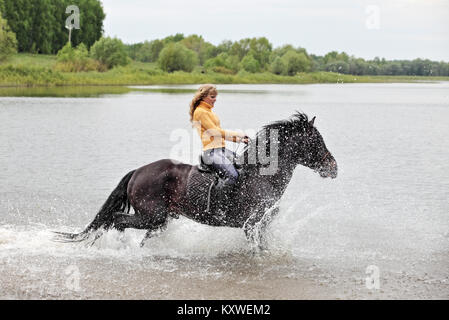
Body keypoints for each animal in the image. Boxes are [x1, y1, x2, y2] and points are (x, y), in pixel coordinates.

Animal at [54, 112, 336, 250]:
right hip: (151, 216)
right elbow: (256, 247)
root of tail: (137, 172)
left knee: (132, 229)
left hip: (161, 220)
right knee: (117, 220)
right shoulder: (250, 224)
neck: (261, 176)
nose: (333, 167)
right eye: (315, 141)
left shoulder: (262, 222)